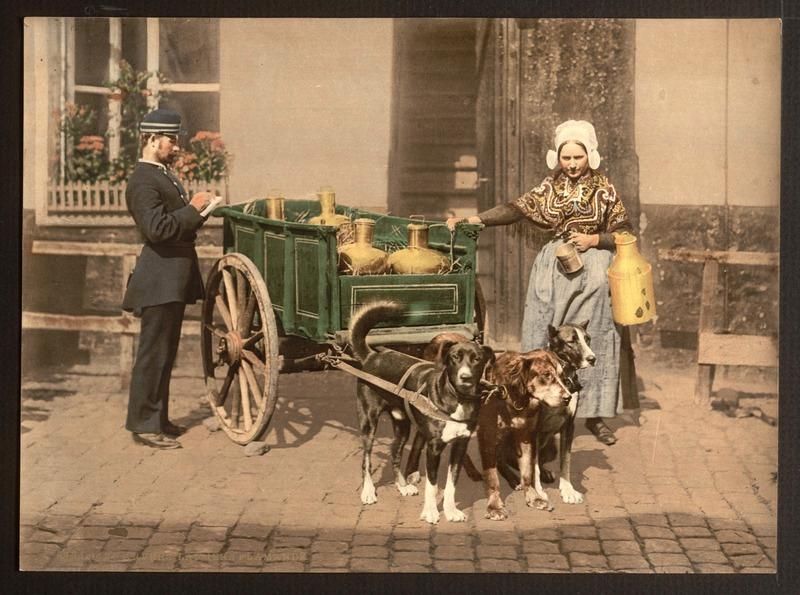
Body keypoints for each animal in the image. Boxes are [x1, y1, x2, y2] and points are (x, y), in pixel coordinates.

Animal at [350, 302, 494, 528]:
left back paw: (402, 486)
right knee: (366, 459)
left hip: (402, 424)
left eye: (477, 359)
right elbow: (432, 485)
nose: (465, 378)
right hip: (368, 422)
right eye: (455, 358)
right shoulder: (433, 448)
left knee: (395, 452)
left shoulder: (460, 446)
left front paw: (451, 511)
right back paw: (368, 491)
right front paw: (431, 512)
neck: (457, 399)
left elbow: (452, 483)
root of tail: (373, 356)